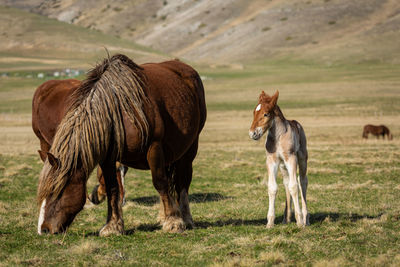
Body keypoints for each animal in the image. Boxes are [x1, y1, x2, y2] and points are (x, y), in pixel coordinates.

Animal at [250, 91, 310, 228]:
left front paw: (300, 222)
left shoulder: (291, 158)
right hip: (283, 166)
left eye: (266, 114)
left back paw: (306, 219)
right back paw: (286, 218)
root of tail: (296, 123)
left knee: (302, 182)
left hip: (302, 159)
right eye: (254, 112)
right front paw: (270, 222)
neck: (278, 137)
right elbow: (273, 187)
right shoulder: (272, 161)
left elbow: (294, 186)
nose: (252, 133)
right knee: (286, 183)